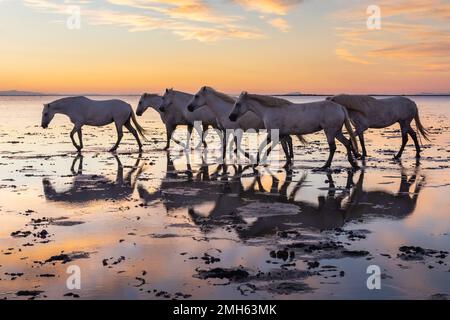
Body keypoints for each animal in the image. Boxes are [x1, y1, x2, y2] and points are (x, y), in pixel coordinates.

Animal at [229, 91, 358, 169]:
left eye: (238, 104)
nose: (231, 117)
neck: (269, 110)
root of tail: (340, 107)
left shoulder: (273, 134)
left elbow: (263, 145)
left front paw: (256, 162)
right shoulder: (281, 134)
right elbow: (285, 147)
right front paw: (287, 163)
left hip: (330, 131)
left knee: (333, 147)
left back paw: (325, 166)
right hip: (337, 131)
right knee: (347, 143)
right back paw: (352, 163)